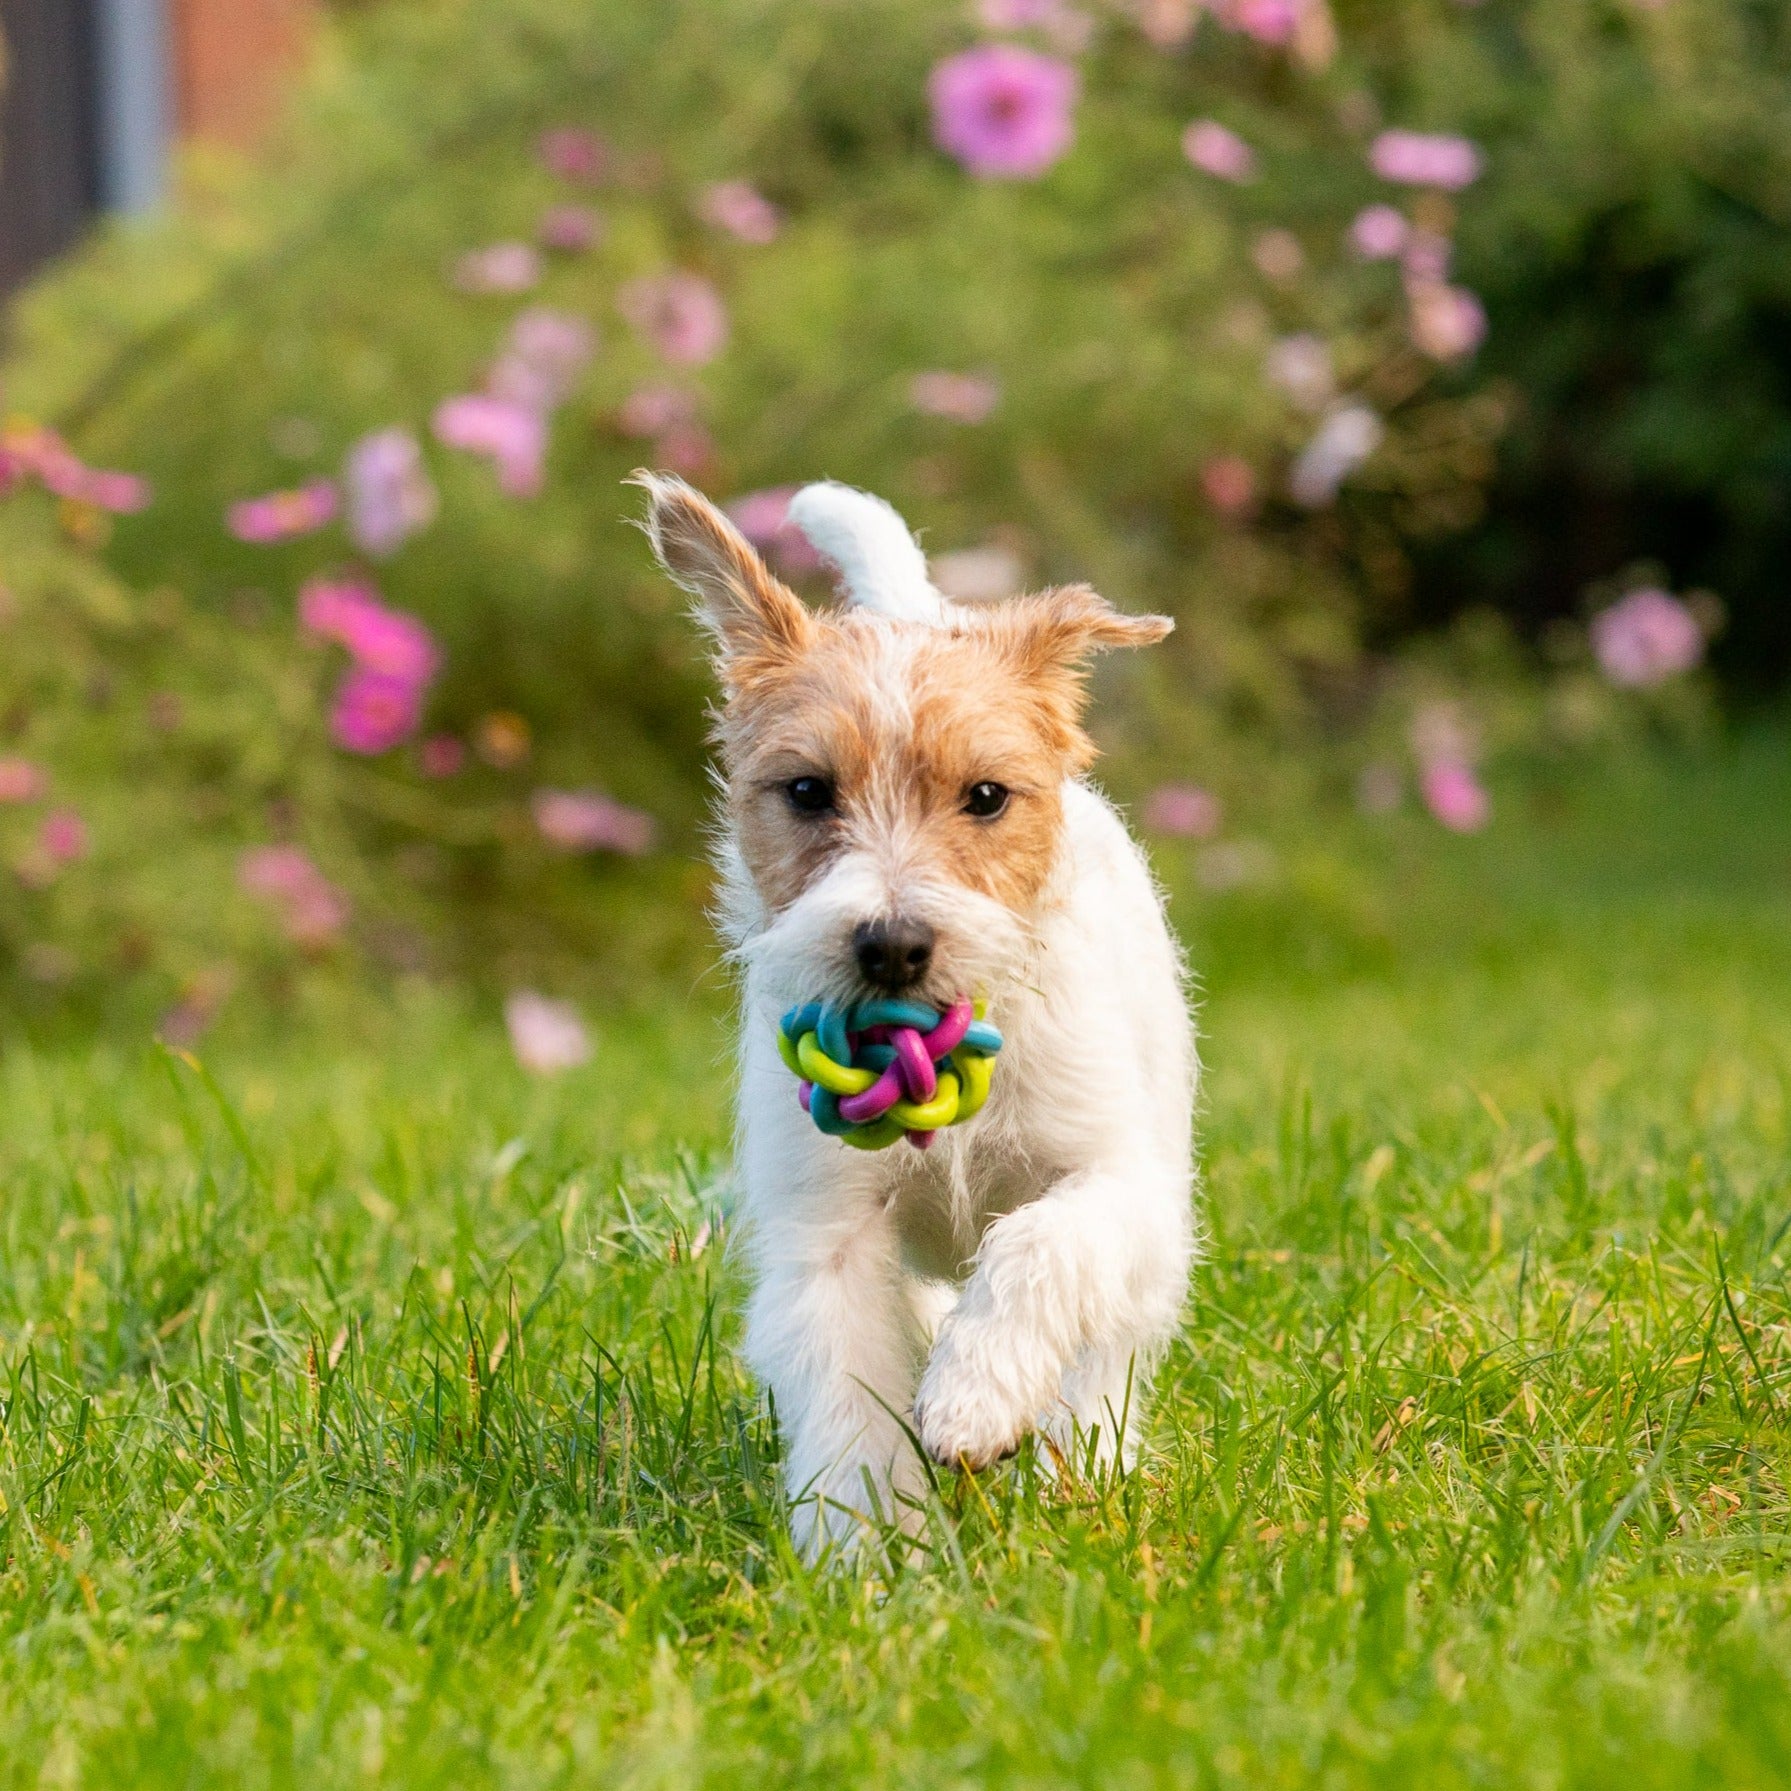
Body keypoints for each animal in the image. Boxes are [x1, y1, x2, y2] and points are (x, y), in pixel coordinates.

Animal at [637, 472, 1196, 1554]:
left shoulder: (1125, 1185)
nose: (892, 945)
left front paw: (975, 1398)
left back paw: (1079, 1464)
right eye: (807, 791)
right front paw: (866, 1555)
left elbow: (1042, 1244)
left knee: (1108, 1351)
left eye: (985, 796)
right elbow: (848, 1396)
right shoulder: (826, 1235)